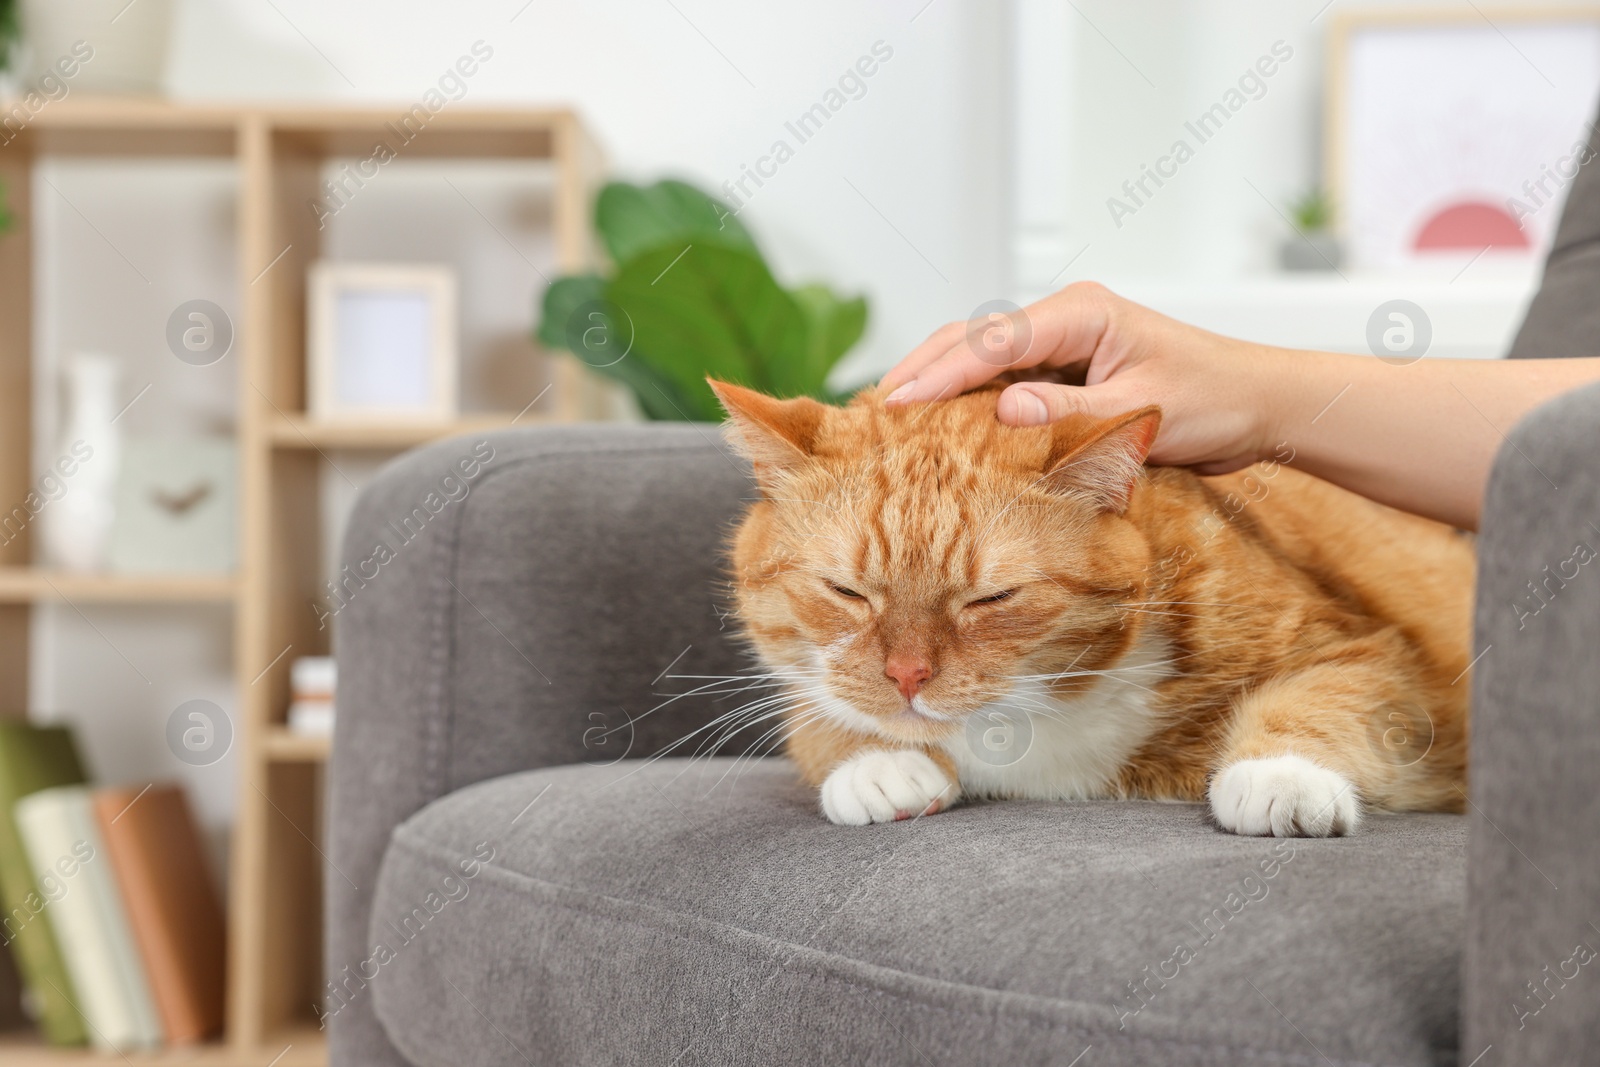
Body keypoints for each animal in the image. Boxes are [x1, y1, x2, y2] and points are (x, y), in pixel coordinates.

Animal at [713, 379, 1472, 838]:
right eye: (846, 591)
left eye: (993, 597)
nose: (906, 676)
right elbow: (820, 714)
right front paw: (875, 762)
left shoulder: (1368, 651)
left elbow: (1320, 698)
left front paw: (1279, 773)